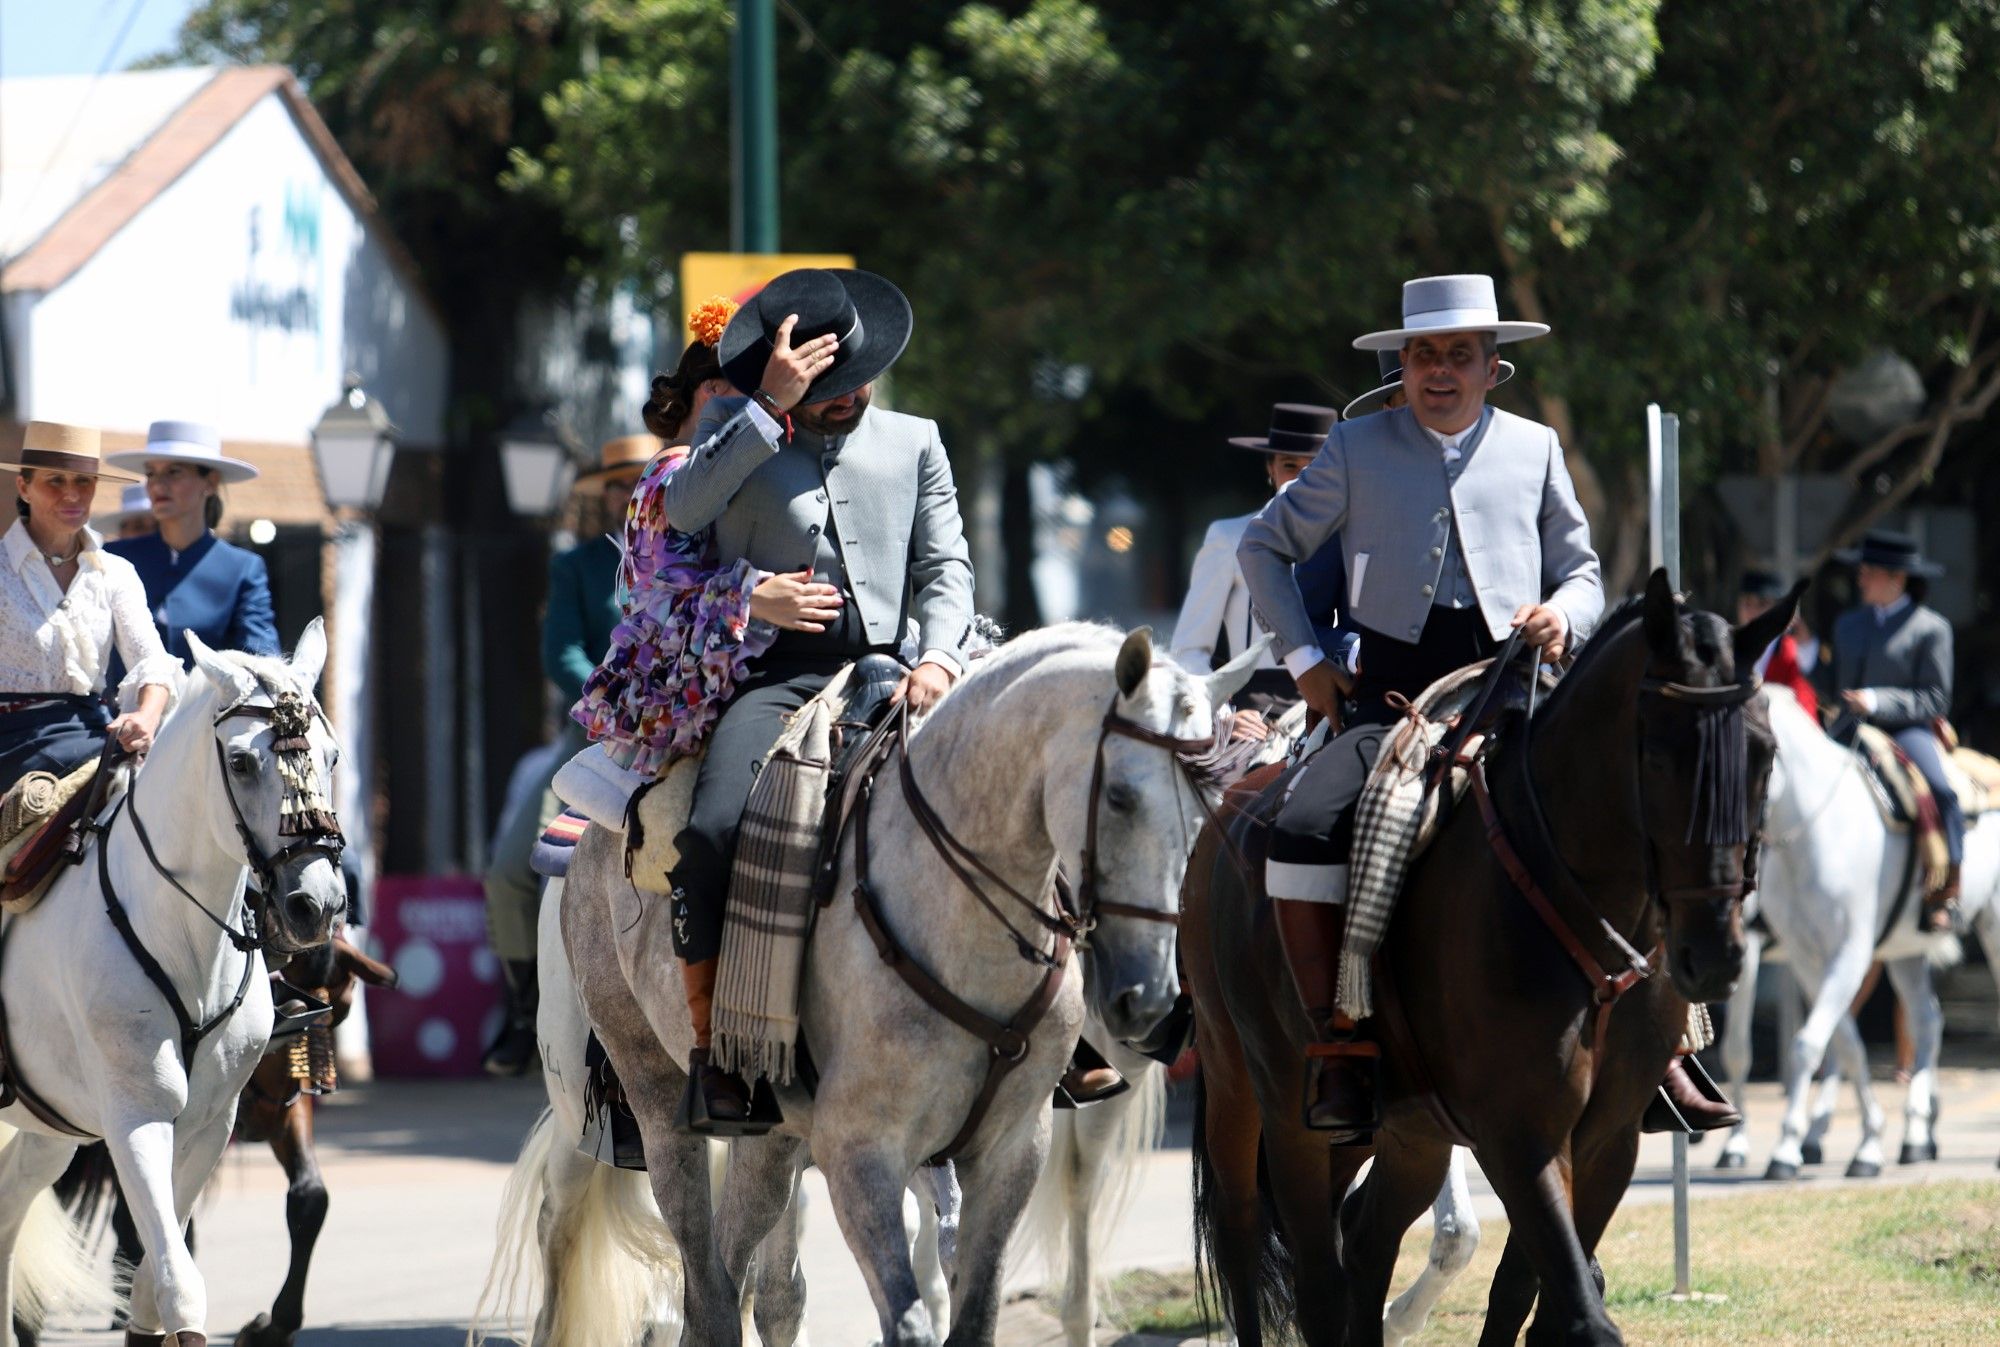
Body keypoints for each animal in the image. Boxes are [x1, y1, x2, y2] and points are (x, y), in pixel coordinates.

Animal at [0, 623, 344, 1335]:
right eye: (239, 763)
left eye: (330, 757)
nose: (317, 905)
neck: (181, 936)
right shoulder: (137, 1119)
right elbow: (177, 1279)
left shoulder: (210, 1123)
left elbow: (153, 1289)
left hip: (51, 1127)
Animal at [556, 627, 1256, 1343]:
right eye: (1119, 796)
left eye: (1203, 810)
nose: (1151, 1000)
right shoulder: (861, 1154)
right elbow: (910, 1314)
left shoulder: (1010, 1153)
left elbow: (972, 1309)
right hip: (658, 1101)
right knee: (706, 1280)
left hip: (773, 1139)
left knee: (739, 1270)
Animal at [1184, 571, 1800, 1335]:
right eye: (1657, 751)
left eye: (1763, 752)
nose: (1713, 955)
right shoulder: (1519, 1134)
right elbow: (1577, 1307)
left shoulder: (1607, 1140)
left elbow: (1536, 1293)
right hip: (1254, 1092)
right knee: (1264, 1244)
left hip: (1400, 1132)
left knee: (1361, 1241)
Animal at [1712, 687, 2000, 1167]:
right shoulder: (1807, 958)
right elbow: (1843, 1044)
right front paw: (1866, 1142)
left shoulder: (1841, 953)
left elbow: (1800, 1045)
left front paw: (1777, 1147)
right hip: (1903, 951)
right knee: (1926, 1020)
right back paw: (1915, 1134)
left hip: (1988, 929)